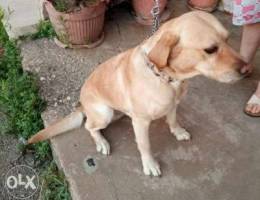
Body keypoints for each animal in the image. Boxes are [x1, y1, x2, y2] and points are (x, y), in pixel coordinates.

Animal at [29, 11, 246, 177]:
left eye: (228, 39)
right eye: (210, 49)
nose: (247, 70)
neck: (166, 78)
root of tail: (82, 105)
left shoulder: (173, 105)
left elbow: (173, 120)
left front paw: (178, 131)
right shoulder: (141, 122)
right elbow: (145, 145)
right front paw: (150, 165)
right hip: (104, 113)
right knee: (89, 126)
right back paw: (102, 142)